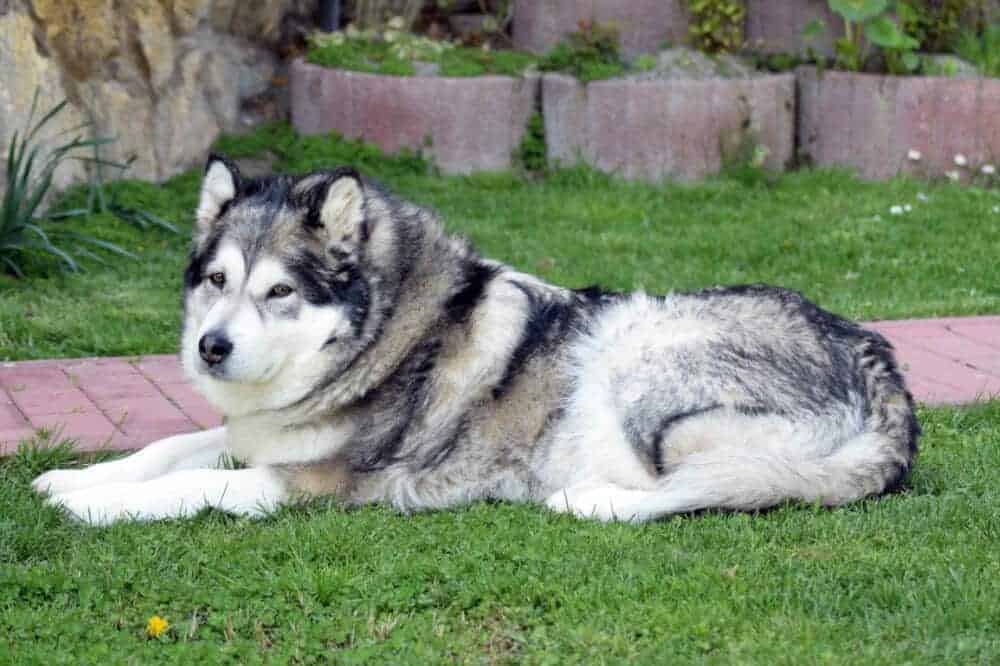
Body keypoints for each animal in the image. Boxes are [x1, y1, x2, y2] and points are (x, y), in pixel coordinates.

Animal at [31, 156, 916, 524]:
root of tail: (886, 376)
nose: (210, 349)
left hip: (638, 361)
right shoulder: (257, 436)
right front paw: (73, 479)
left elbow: (190, 485)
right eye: (216, 280)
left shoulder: (316, 482)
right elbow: (169, 447)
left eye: (279, 291)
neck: (378, 341)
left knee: (710, 488)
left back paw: (590, 500)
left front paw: (95, 507)